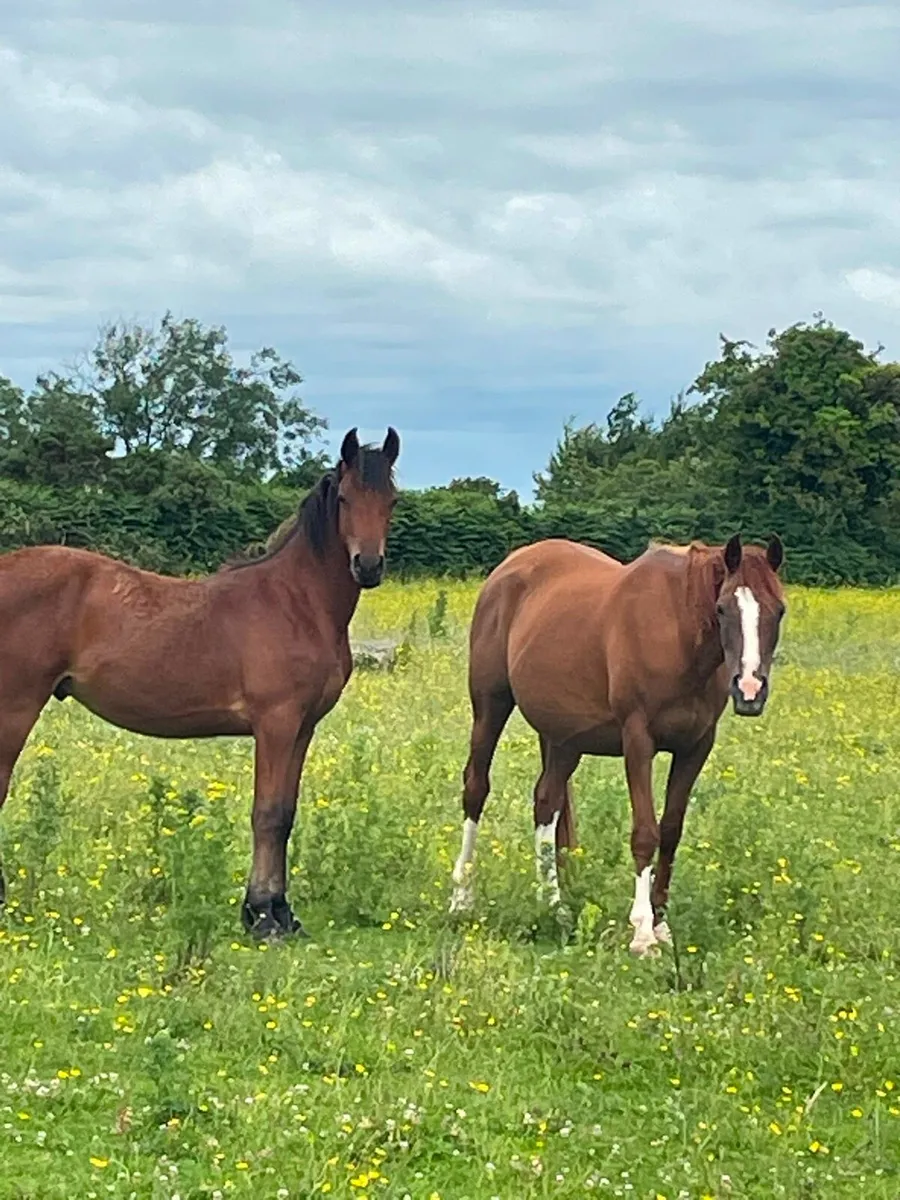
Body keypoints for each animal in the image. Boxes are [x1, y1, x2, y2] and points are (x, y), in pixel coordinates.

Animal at [0, 427, 400, 939]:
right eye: (346, 498)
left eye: (391, 500)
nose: (367, 566)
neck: (296, 603)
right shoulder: (276, 724)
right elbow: (267, 814)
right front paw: (263, 918)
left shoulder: (302, 728)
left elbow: (286, 813)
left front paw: (281, 913)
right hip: (15, 707)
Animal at [449, 533, 785, 956]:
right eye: (723, 608)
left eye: (779, 611)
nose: (750, 690)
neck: (677, 634)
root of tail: (508, 568)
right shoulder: (638, 739)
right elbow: (645, 832)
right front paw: (642, 932)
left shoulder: (696, 747)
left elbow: (670, 831)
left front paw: (661, 924)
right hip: (491, 705)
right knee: (476, 788)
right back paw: (462, 898)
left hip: (564, 739)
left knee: (546, 802)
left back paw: (554, 906)